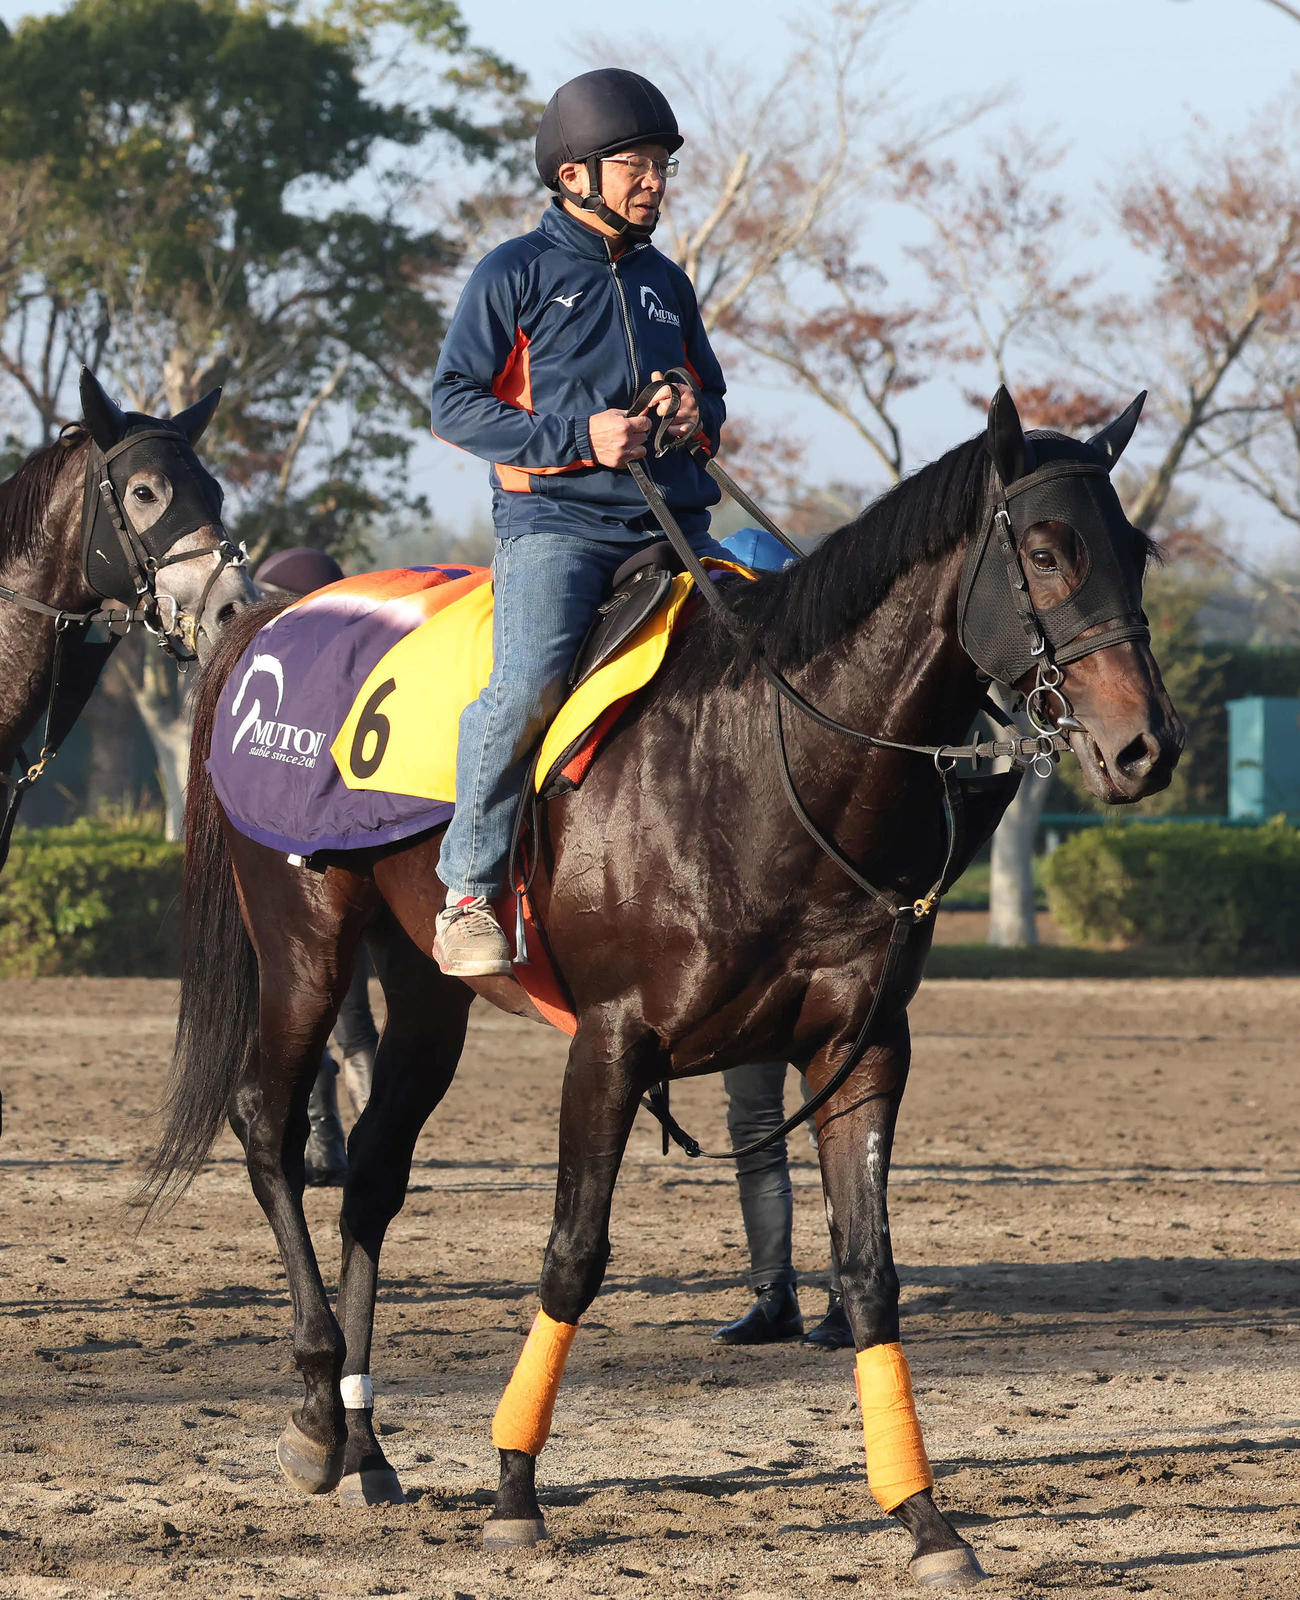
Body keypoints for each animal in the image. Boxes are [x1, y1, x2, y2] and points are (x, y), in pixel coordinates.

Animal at [147, 388, 1183, 1589]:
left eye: (1137, 550)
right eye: (1048, 550)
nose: (1146, 746)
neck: (764, 760)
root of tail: (266, 622)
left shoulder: (861, 1050)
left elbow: (868, 1272)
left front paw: (926, 1518)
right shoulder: (611, 1042)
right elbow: (571, 1259)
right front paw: (514, 1487)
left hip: (427, 987)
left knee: (371, 1174)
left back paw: (364, 1442)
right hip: (308, 943)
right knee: (267, 1127)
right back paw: (317, 1411)